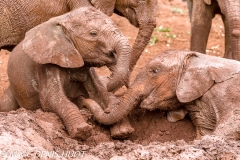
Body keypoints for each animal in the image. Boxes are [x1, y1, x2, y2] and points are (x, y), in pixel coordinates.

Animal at [0, 6, 131, 140]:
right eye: (93, 33)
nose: (110, 82)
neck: (62, 20)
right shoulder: (47, 65)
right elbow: (52, 100)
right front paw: (82, 131)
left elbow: (102, 95)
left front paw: (124, 132)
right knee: (5, 105)